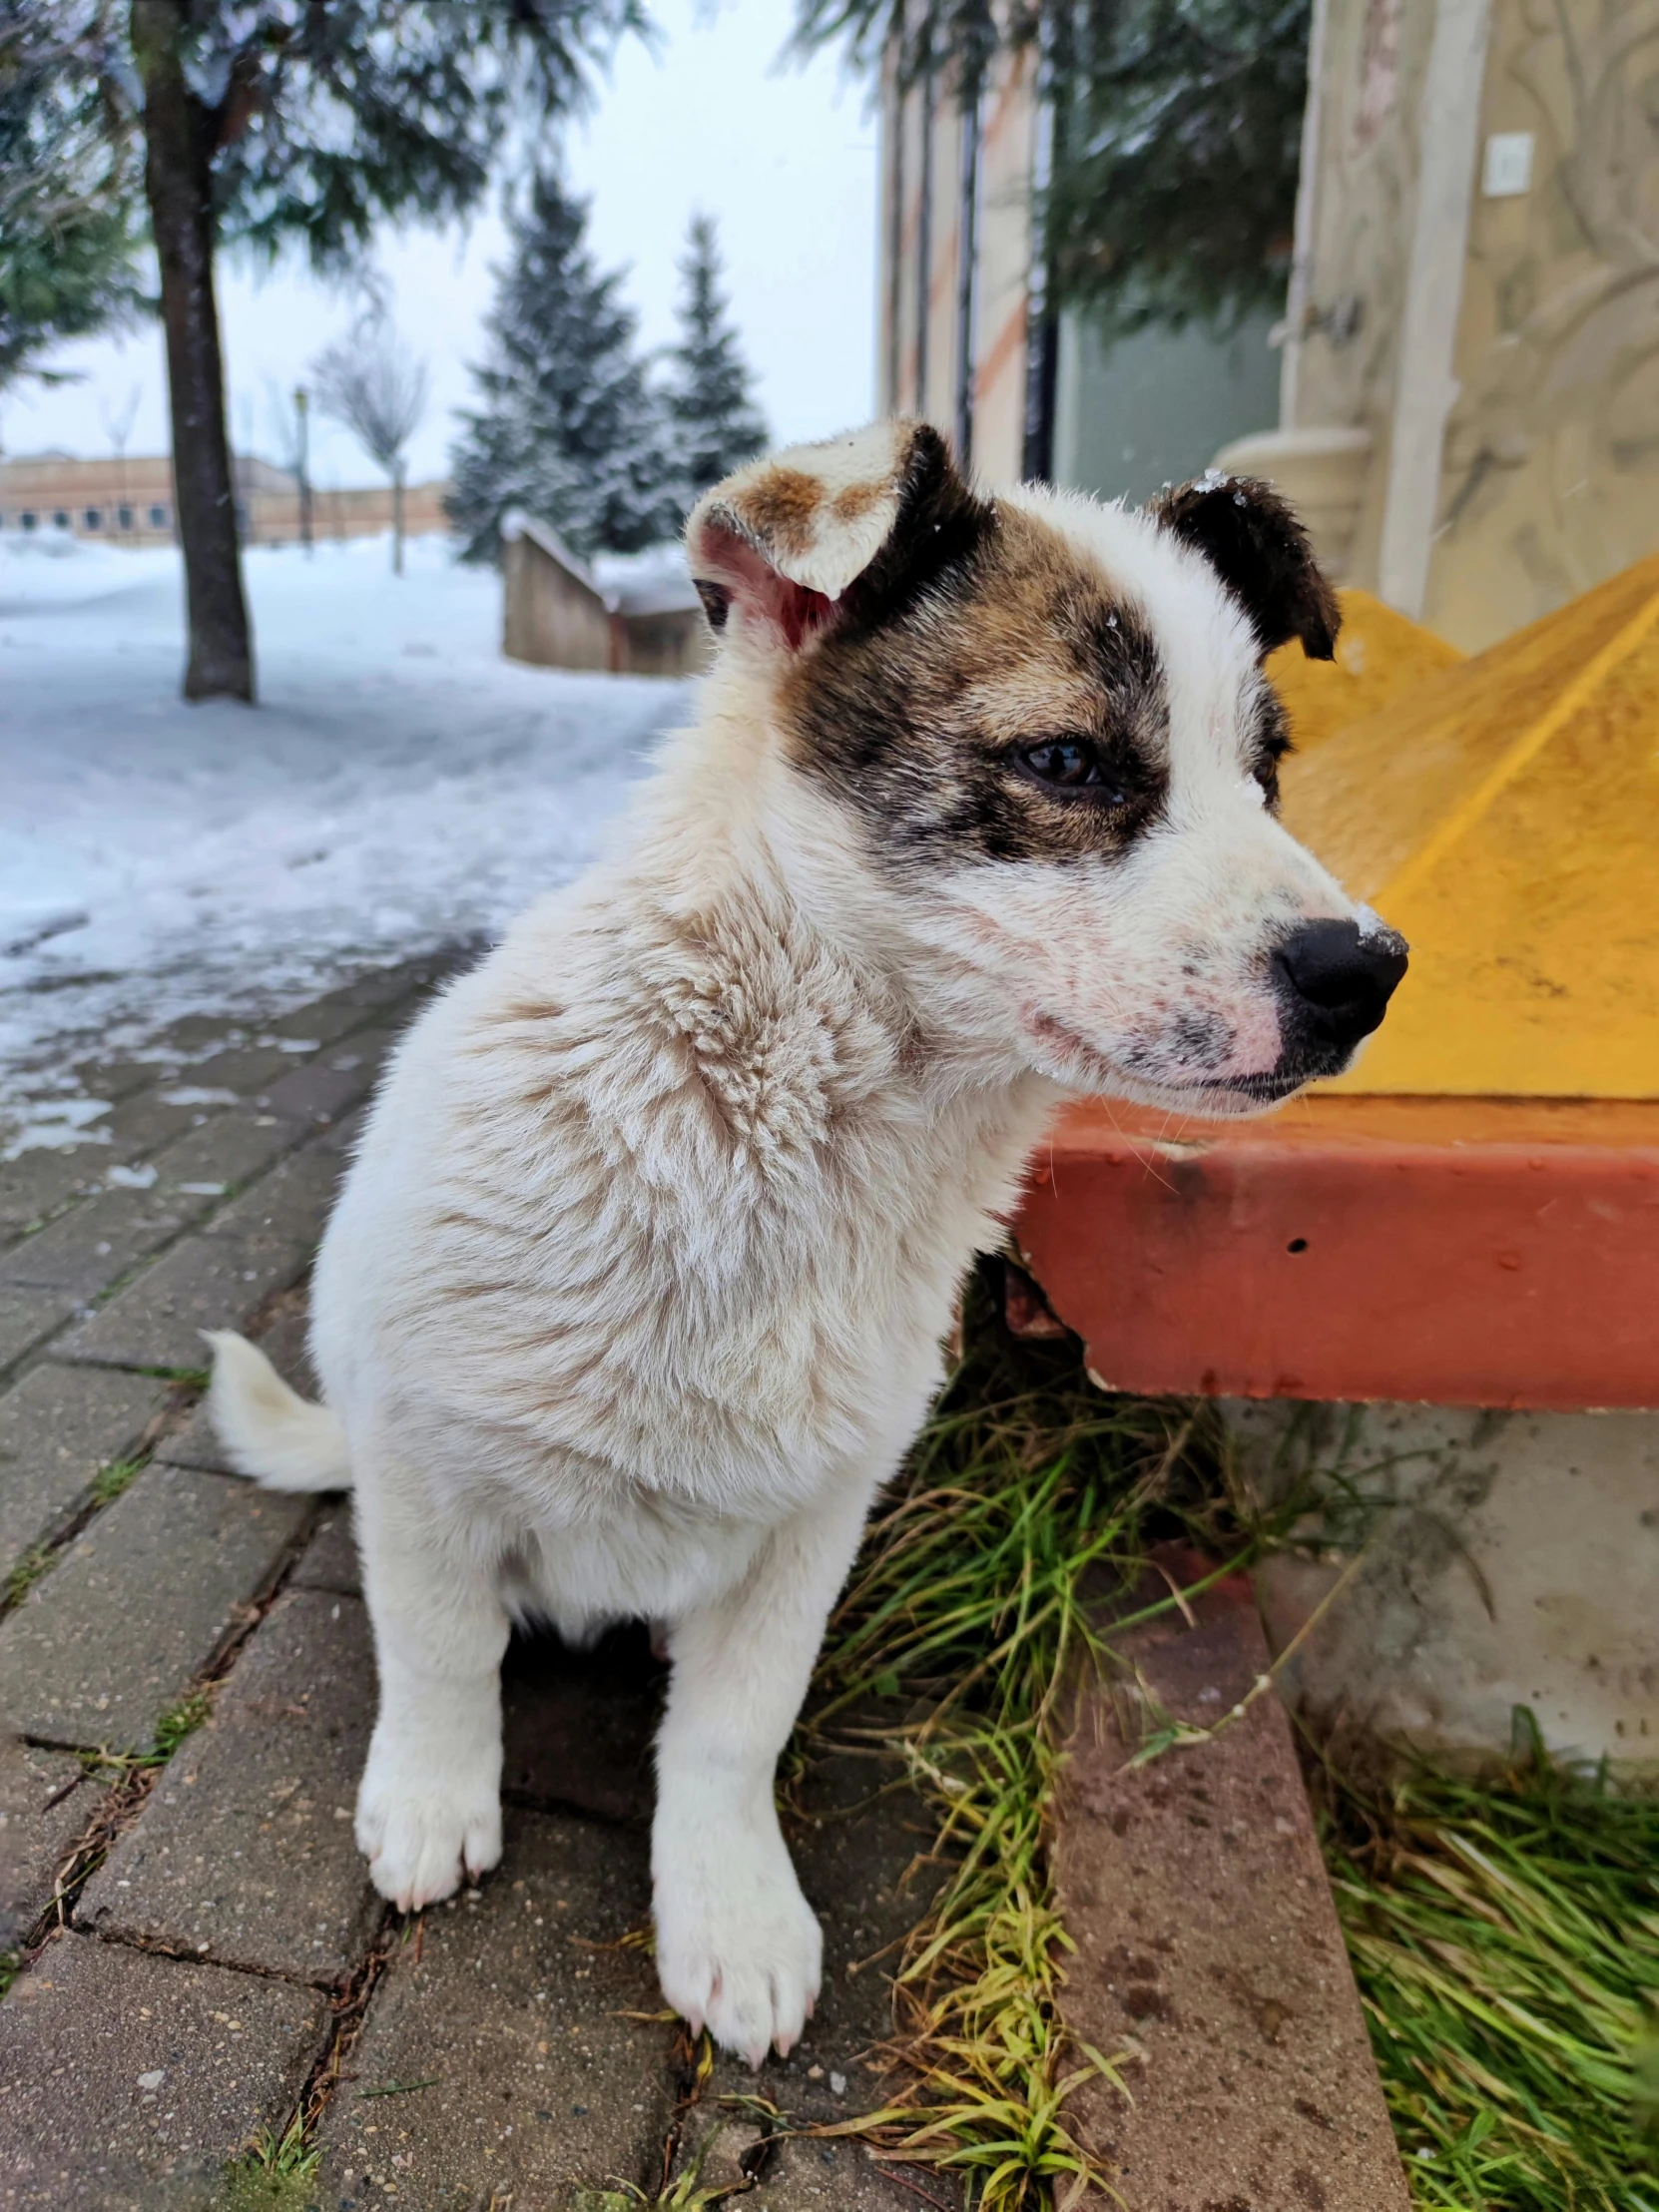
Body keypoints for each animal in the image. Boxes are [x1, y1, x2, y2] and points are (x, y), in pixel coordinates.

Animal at [204, 422, 1406, 2061]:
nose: (1371, 972)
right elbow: (441, 1650)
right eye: (1069, 761)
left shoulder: (812, 1521)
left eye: (1268, 770)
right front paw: (434, 1798)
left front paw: (727, 1913)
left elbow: (731, 1727)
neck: (772, 1142)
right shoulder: (425, 1464)